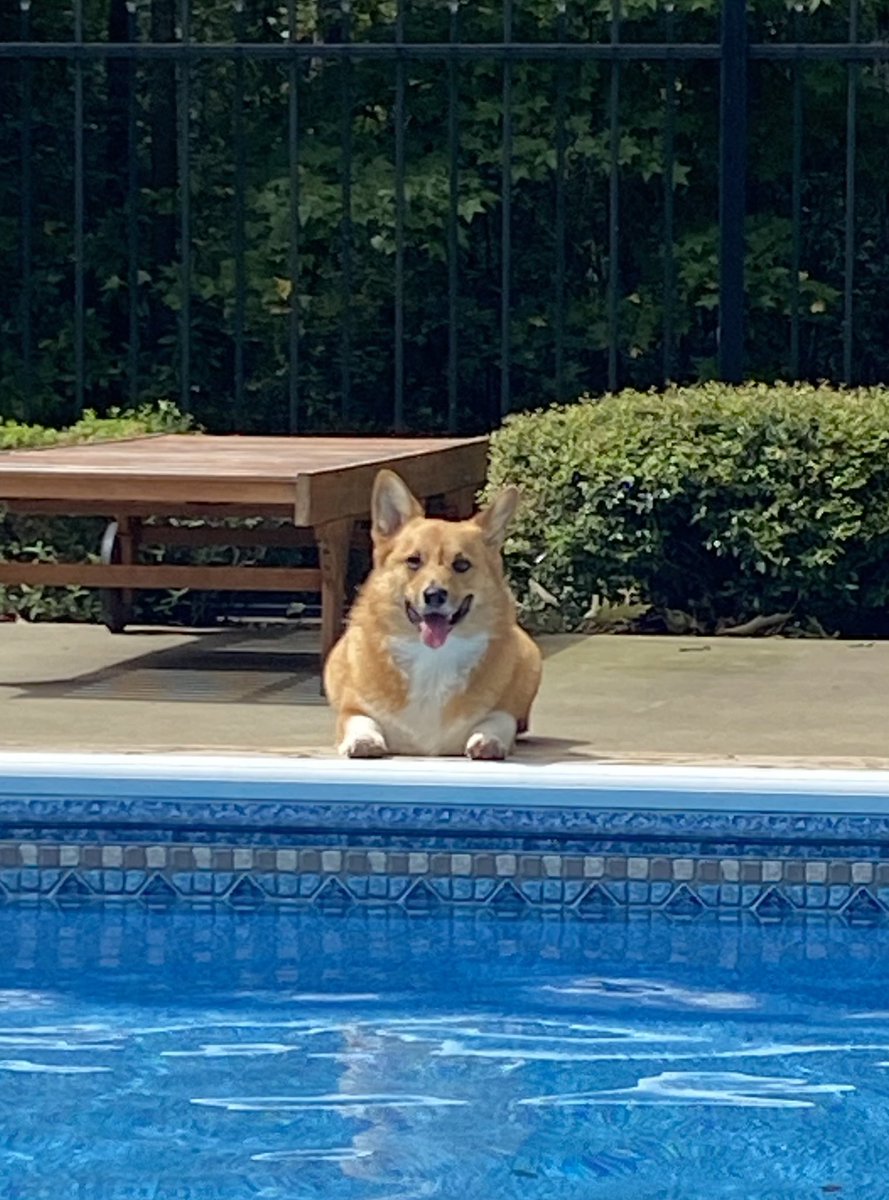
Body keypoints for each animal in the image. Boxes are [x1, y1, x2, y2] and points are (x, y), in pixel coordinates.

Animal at [323, 470, 539, 758]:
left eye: (461, 564)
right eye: (413, 561)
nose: (434, 594)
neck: (433, 658)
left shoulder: (504, 711)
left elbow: (499, 720)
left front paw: (487, 740)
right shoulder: (352, 708)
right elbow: (360, 720)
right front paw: (364, 741)